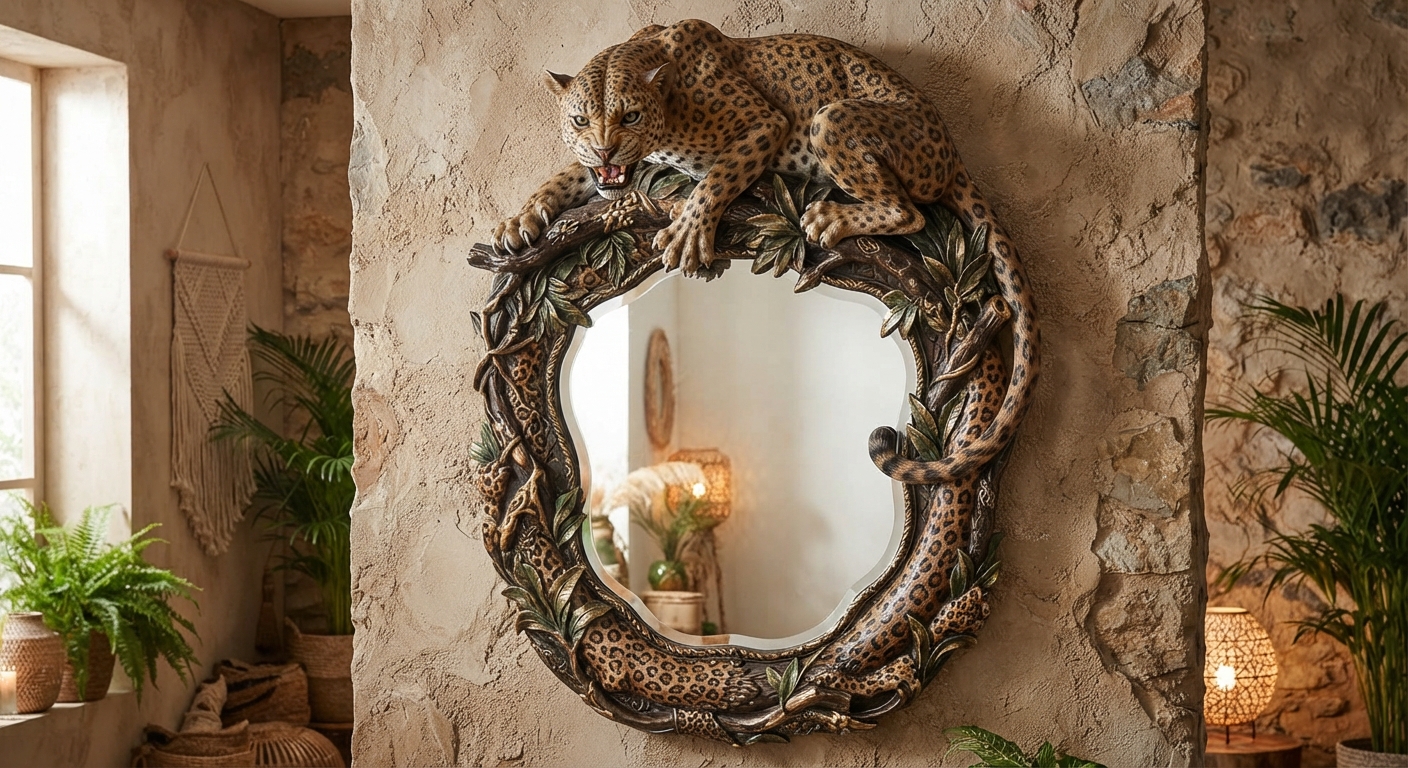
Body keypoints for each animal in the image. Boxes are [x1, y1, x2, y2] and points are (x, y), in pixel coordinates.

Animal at [493, 19, 1039, 486]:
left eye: (630, 115)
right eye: (580, 119)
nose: (606, 149)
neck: (667, 106)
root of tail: (951, 146)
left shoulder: (765, 123)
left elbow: (719, 174)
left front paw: (689, 230)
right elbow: (568, 175)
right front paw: (520, 220)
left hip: (833, 116)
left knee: (910, 213)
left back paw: (831, 218)